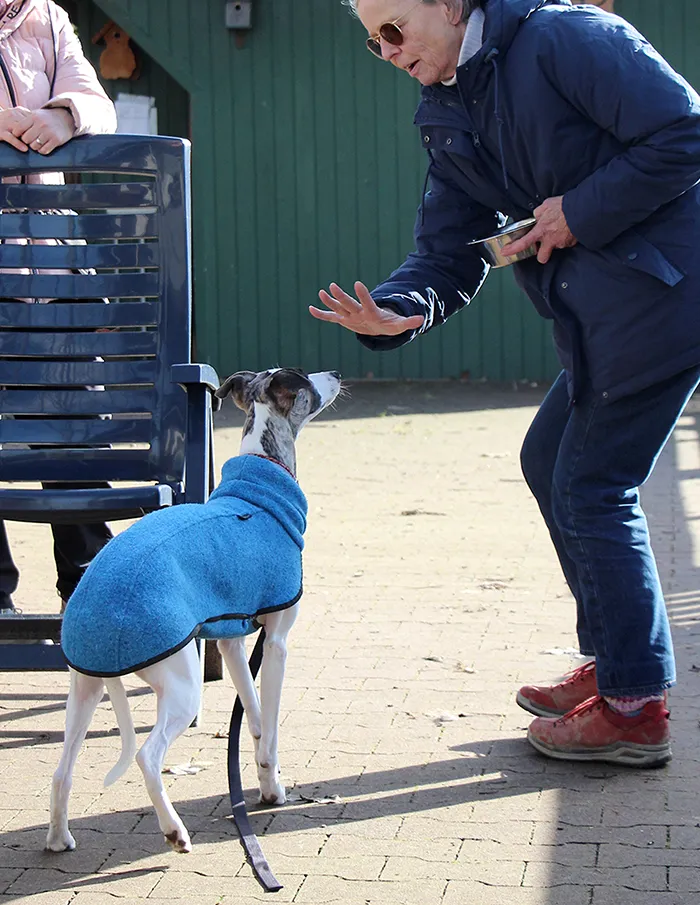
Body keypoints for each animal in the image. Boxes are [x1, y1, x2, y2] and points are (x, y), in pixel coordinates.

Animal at [46, 368, 341, 855]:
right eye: (304, 380)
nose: (335, 373)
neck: (260, 487)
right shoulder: (276, 644)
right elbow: (271, 725)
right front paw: (273, 790)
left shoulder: (233, 641)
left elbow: (254, 720)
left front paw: (266, 781)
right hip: (181, 688)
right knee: (147, 756)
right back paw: (174, 831)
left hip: (84, 690)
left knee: (61, 770)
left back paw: (57, 837)